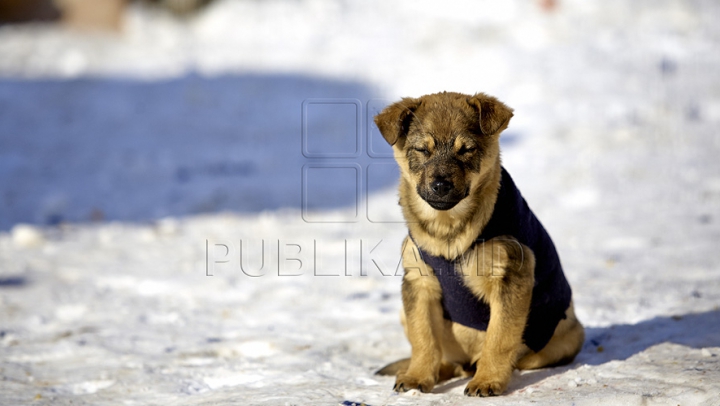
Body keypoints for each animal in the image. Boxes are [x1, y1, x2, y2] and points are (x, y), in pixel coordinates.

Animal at [374, 92, 584, 396]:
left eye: (466, 150)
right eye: (422, 150)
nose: (440, 186)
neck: (448, 232)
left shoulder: (510, 276)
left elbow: (499, 339)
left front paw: (487, 381)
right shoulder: (418, 282)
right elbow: (423, 338)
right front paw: (417, 377)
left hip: (565, 338)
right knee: (448, 359)